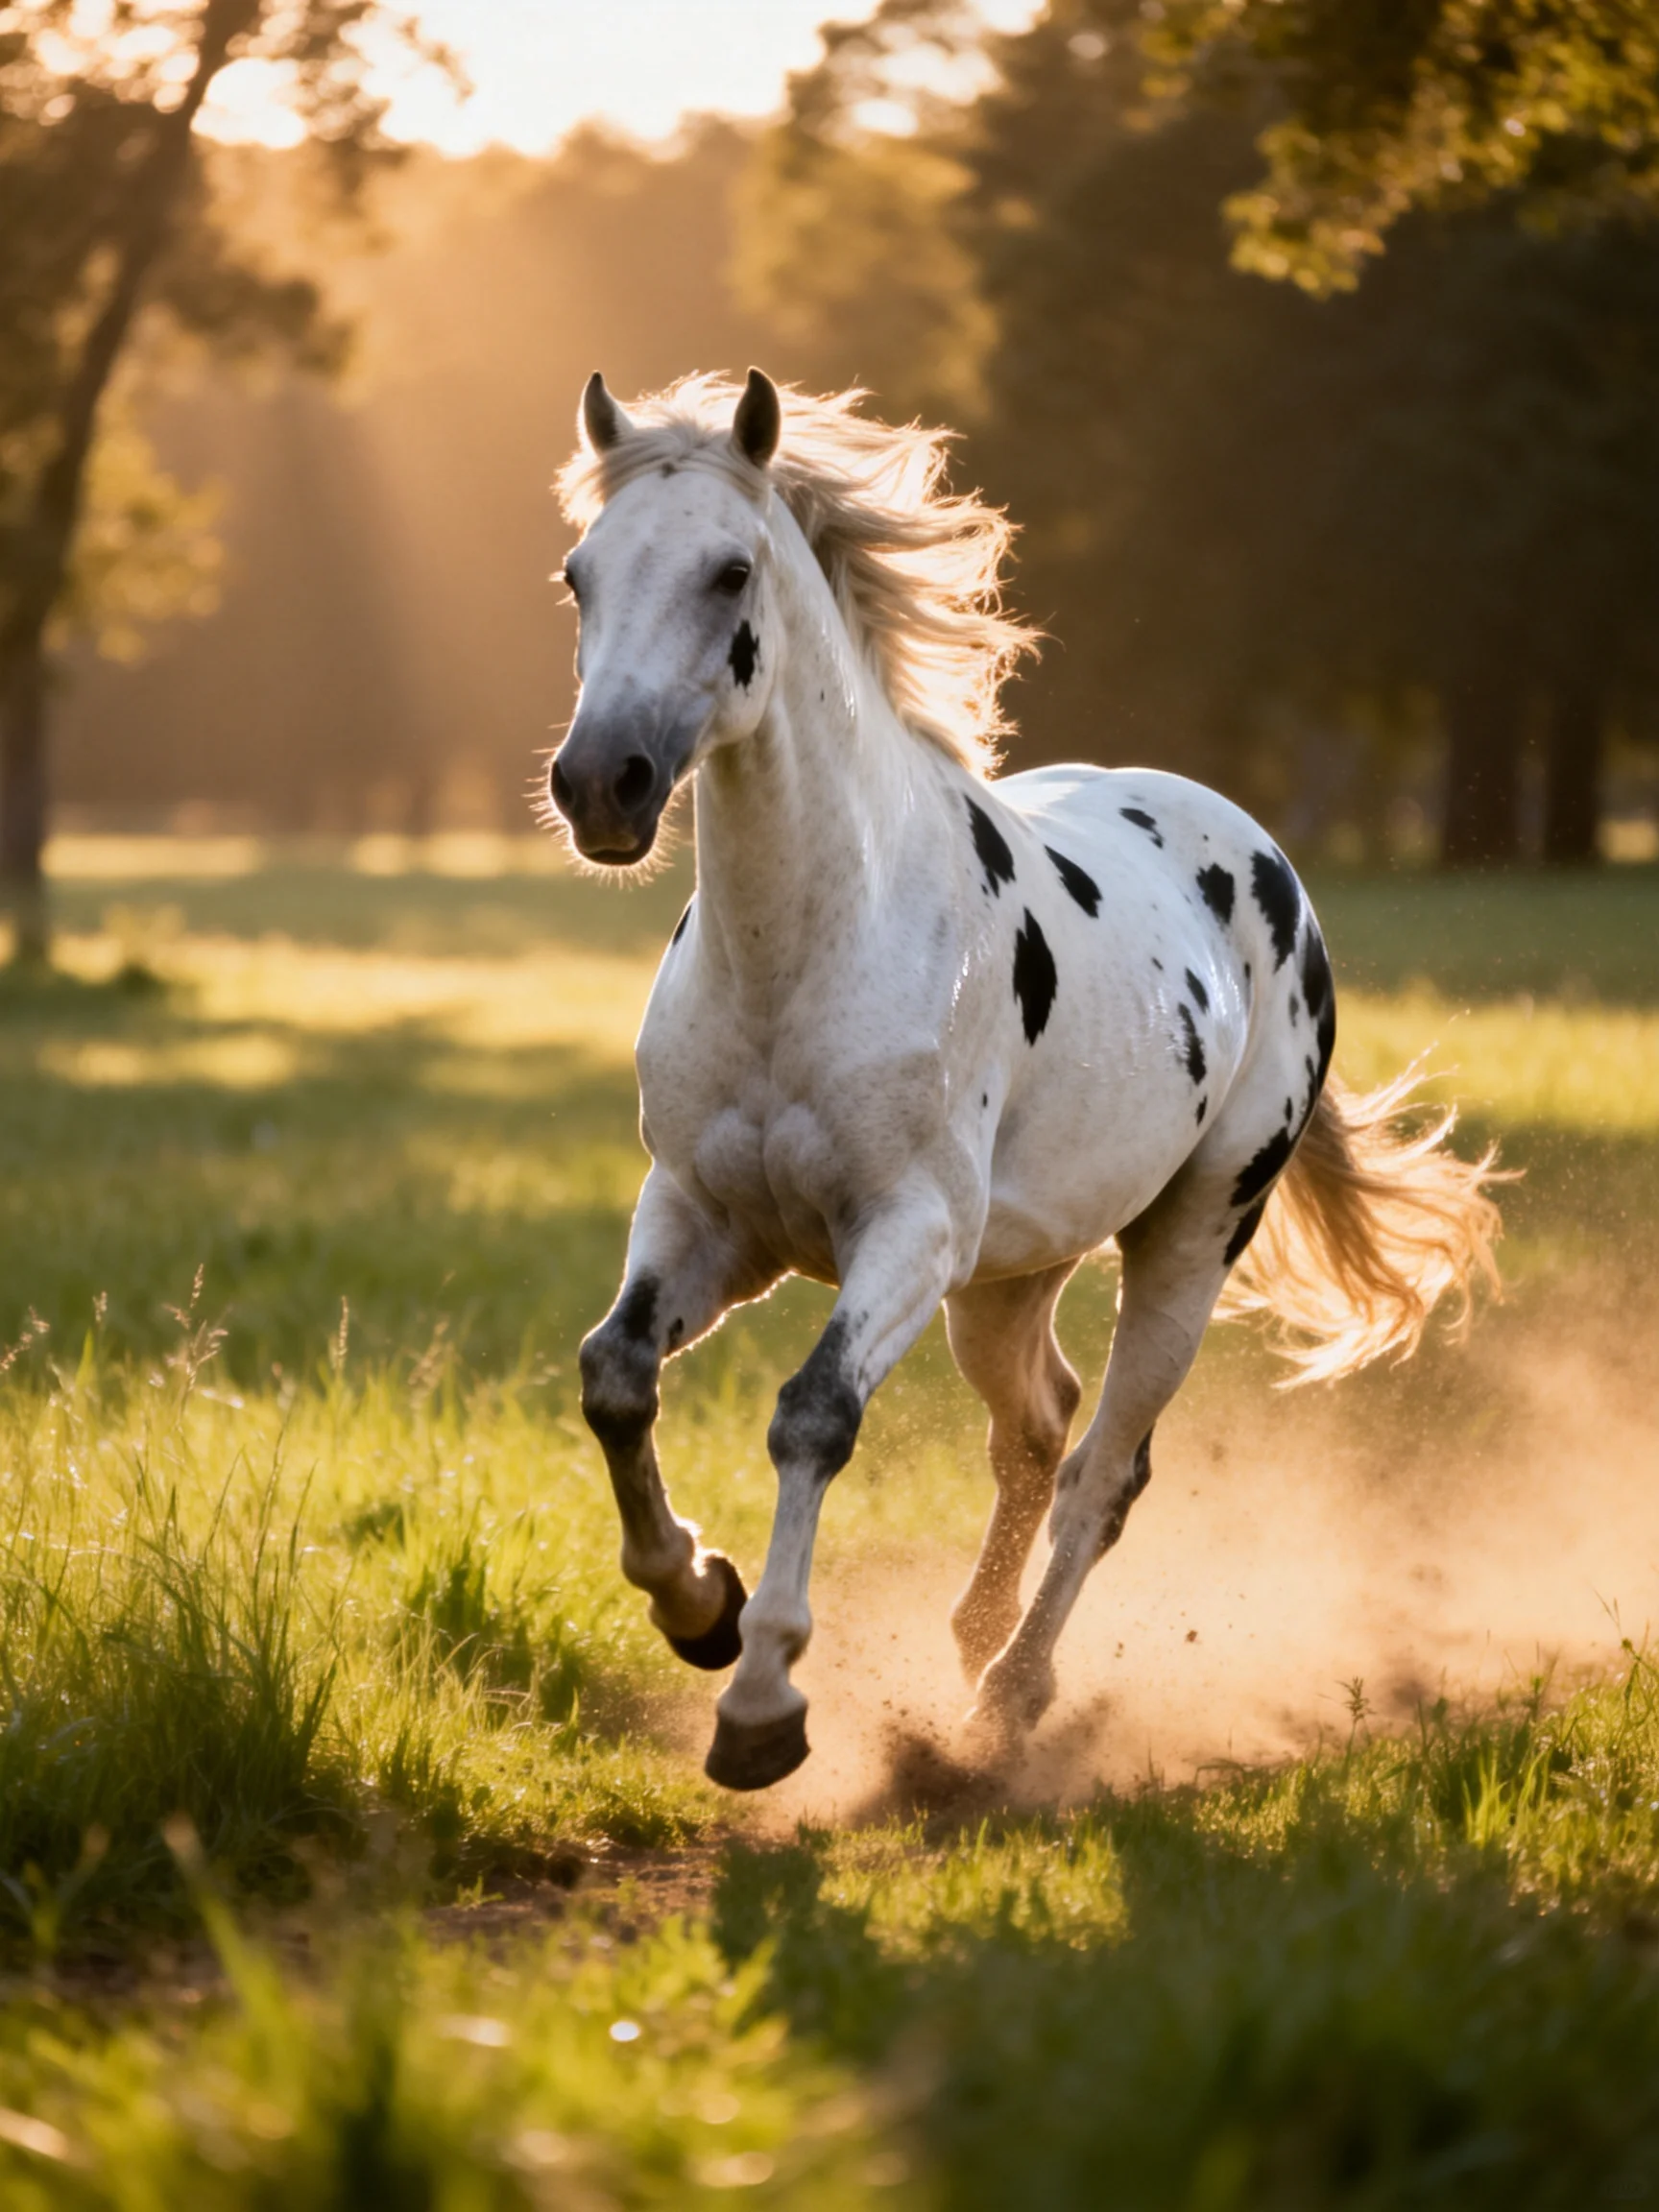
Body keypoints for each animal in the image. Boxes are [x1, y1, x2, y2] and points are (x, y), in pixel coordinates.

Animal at [544, 367, 1502, 1794]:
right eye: (579, 575)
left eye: (730, 571)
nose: (600, 785)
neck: (803, 956)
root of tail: (1267, 858)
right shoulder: (706, 1217)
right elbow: (615, 1375)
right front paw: (698, 1603)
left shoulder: (907, 1233)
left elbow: (814, 1415)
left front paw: (764, 1701)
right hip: (1007, 1279)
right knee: (1038, 1425)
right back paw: (972, 1636)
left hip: (1185, 1241)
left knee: (1104, 1468)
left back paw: (1009, 1699)